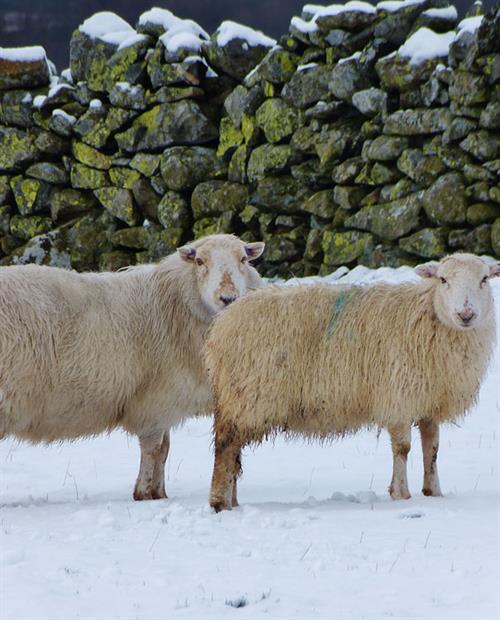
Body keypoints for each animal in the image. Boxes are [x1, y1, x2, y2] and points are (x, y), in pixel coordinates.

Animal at [0, 232, 266, 498]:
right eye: (200, 261)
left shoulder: (166, 403)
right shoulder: (153, 404)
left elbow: (165, 450)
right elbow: (154, 449)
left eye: (243, 259)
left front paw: (160, 493)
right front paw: (145, 493)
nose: (228, 298)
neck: (174, 305)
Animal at [205, 253, 498, 512]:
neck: (427, 316)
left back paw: (232, 502)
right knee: (225, 446)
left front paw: (433, 492)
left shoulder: (428, 401)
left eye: (484, 279)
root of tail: (221, 326)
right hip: (247, 396)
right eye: (443, 279)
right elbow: (403, 448)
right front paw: (401, 494)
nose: (466, 314)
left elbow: (432, 448)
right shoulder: (398, 396)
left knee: (233, 452)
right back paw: (219, 502)